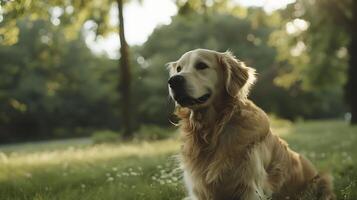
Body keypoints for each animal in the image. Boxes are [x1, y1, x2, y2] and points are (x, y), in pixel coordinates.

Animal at [167, 48, 334, 200]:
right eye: (179, 69)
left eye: (201, 65)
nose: (173, 80)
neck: (213, 130)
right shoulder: (198, 189)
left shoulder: (250, 186)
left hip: (323, 182)